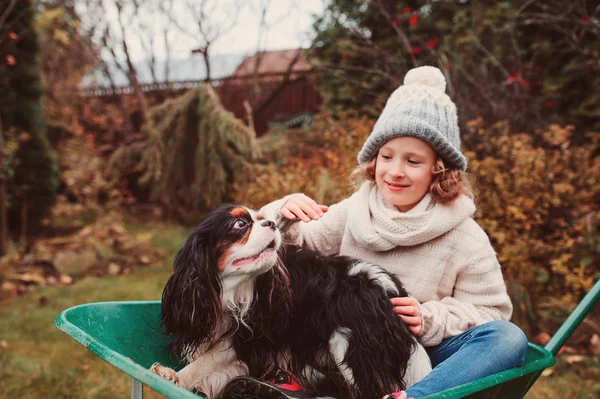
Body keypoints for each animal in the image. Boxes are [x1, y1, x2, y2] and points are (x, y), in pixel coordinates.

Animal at [150, 205, 432, 398]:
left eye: (259, 220)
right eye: (240, 224)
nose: (272, 223)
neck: (230, 290)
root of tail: (389, 288)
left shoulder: (249, 335)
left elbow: (208, 361)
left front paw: (174, 377)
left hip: (350, 346)